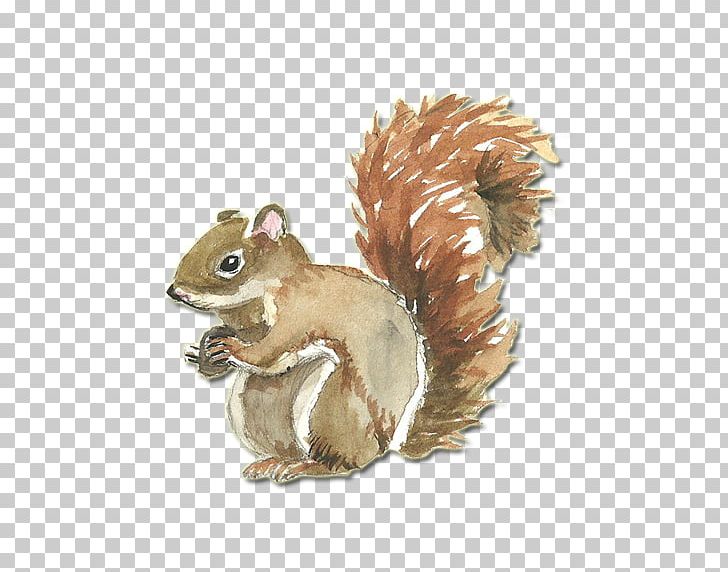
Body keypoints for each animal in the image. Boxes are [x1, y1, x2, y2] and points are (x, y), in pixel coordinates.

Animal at [167, 94, 557, 482]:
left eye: (230, 263)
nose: (174, 293)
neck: (255, 300)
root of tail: (388, 443)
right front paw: (206, 352)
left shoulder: (301, 310)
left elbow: (271, 351)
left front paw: (233, 348)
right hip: (253, 409)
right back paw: (271, 462)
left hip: (331, 409)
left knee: (340, 462)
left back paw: (305, 465)